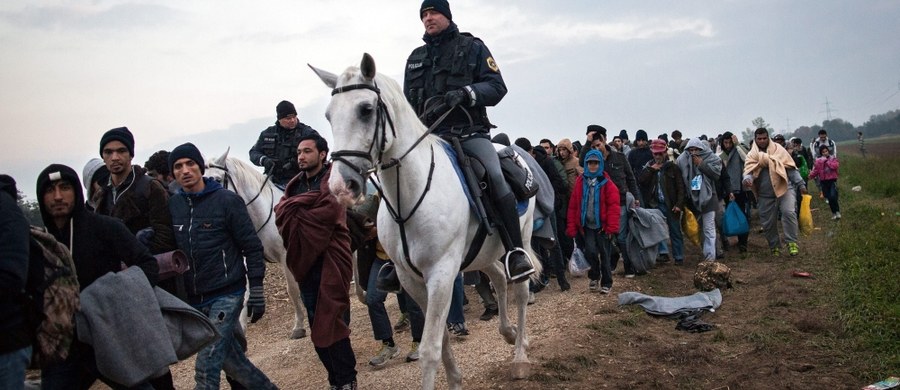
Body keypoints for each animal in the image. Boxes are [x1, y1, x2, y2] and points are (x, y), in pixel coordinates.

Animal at [207, 149, 310, 338]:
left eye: (217, 179)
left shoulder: (286, 256)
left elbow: (292, 290)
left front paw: (298, 326)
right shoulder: (249, 259)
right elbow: (245, 294)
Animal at [312, 54, 540, 390]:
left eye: (365, 109)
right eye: (329, 115)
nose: (342, 186)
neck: (411, 193)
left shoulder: (441, 275)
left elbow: (430, 348)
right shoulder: (411, 279)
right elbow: (441, 340)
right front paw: (455, 381)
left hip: (518, 238)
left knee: (521, 288)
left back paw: (521, 356)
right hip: (482, 253)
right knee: (499, 278)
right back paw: (510, 334)